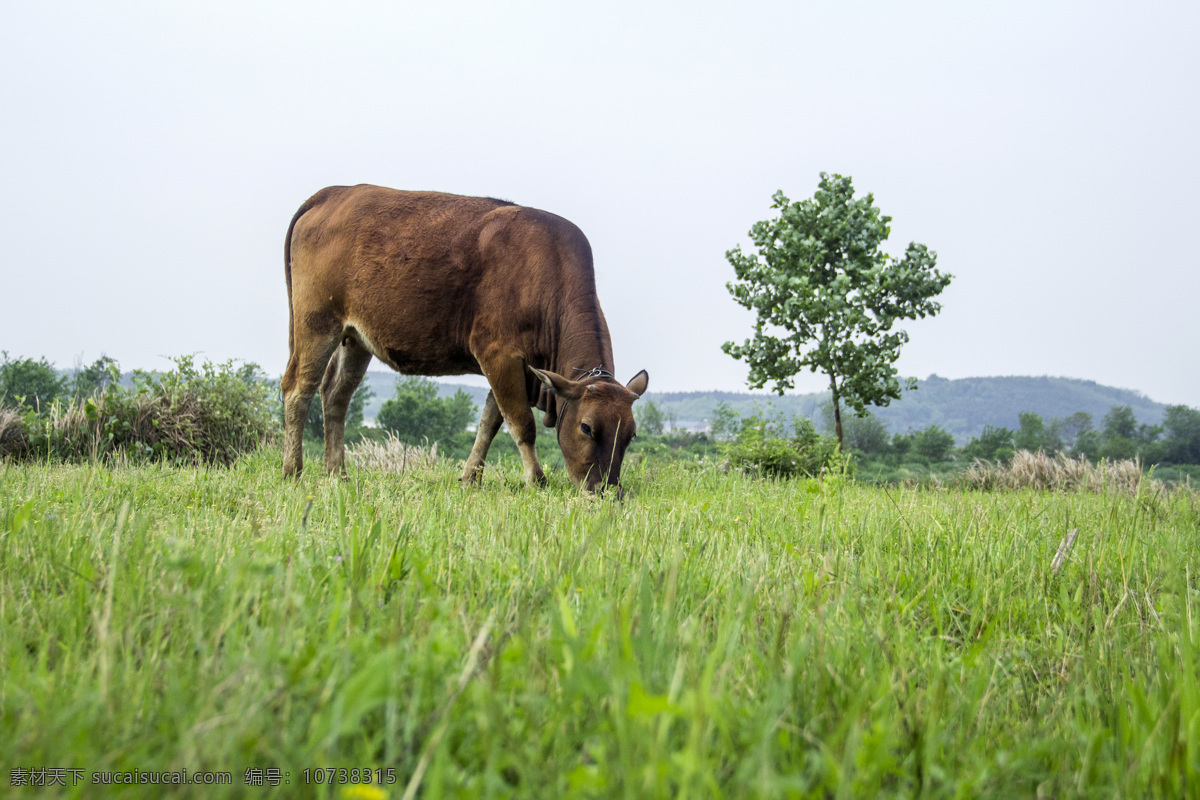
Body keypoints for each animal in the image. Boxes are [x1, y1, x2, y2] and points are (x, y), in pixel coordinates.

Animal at [279, 184, 648, 491]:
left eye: (630, 434)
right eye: (586, 427)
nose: (606, 490)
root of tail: (334, 193)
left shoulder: (514, 367)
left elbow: (489, 421)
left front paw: (471, 477)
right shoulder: (499, 354)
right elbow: (521, 423)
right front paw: (536, 480)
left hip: (355, 337)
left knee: (335, 395)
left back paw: (336, 473)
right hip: (316, 323)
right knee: (298, 389)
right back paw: (293, 471)